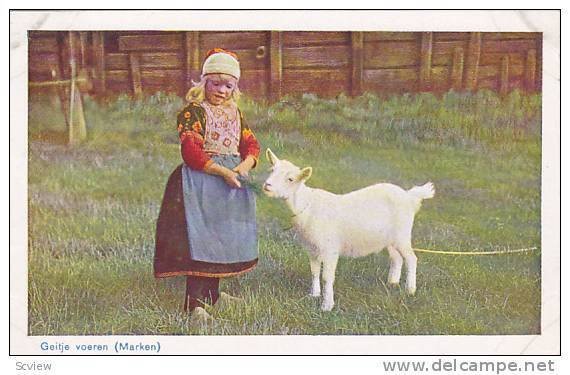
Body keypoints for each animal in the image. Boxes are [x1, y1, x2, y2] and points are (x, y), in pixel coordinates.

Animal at [262, 149, 434, 312]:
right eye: (271, 170)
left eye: (290, 179)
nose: (267, 185)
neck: (308, 206)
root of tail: (409, 196)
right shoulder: (312, 248)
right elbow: (314, 272)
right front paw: (314, 295)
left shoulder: (330, 249)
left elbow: (327, 277)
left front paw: (327, 306)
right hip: (390, 238)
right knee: (396, 258)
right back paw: (392, 283)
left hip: (402, 234)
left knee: (411, 258)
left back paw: (410, 290)